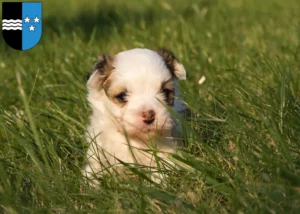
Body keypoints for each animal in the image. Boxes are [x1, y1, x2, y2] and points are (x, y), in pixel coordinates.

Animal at [84, 48, 186, 184]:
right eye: (122, 96)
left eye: (165, 92)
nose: (148, 115)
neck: (136, 140)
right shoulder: (97, 155)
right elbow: (91, 174)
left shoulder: (169, 155)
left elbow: (161, 173)